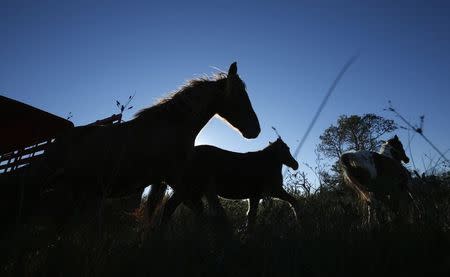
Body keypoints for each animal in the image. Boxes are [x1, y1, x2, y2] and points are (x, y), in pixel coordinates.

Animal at [22, 61, 260, 223]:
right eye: (240, 96)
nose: (256, 130)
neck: (170, 126)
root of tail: (56, 142)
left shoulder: (166, 182)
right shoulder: (177, 180)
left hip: (76, 191)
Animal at [156, 136, 300, 231]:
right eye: (286, 149)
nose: (295, 165)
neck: (265, 164)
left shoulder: (258, 195)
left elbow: (251, 215)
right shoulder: (267, 192)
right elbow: (252, 215)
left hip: (191, 191)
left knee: (188, 208)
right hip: (188, 189)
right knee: (172, 206)